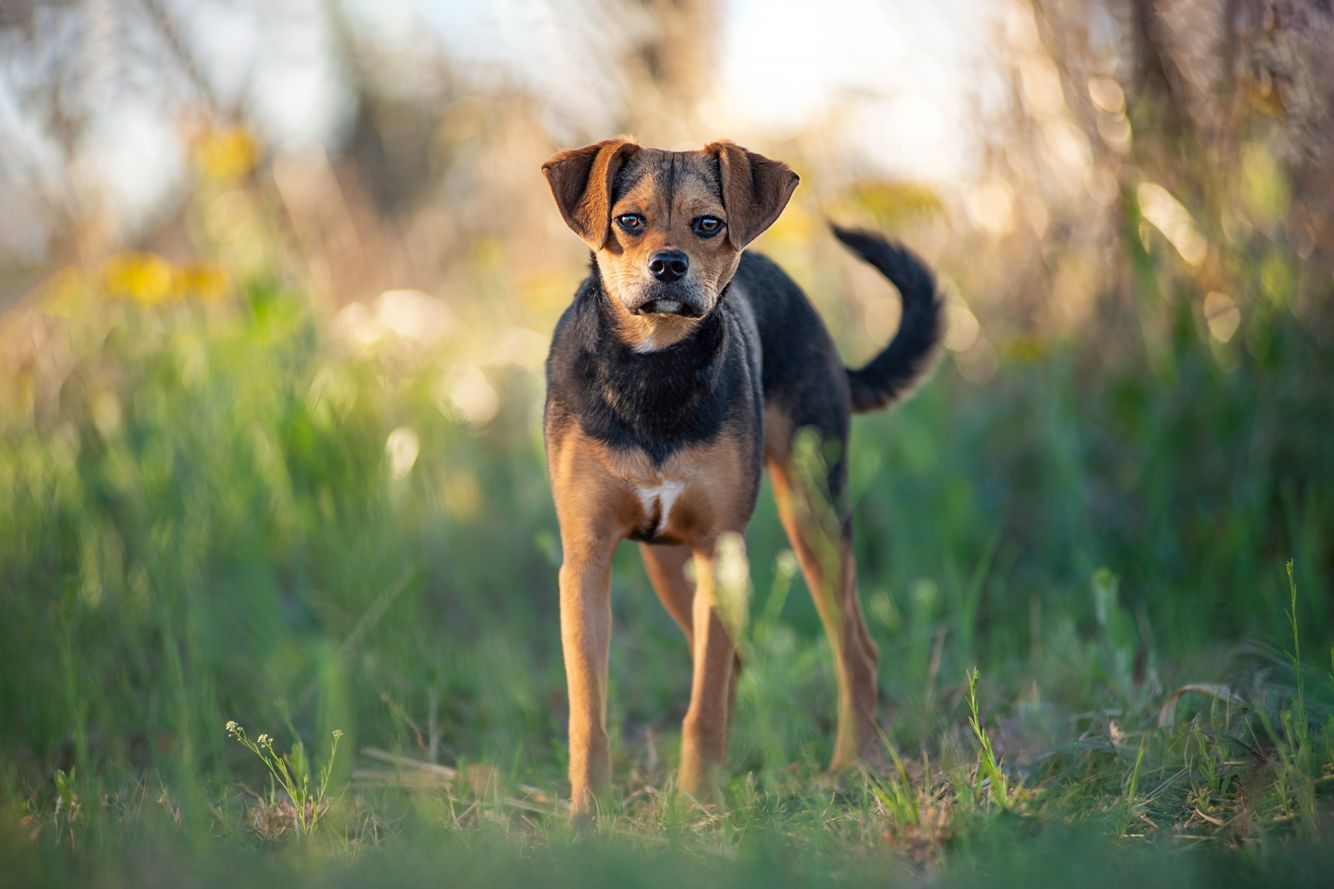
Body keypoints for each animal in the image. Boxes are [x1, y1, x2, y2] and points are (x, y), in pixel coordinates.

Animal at [538, 136, 939, 811]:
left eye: (708, 225)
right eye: (629, 221)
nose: (669, 266)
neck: (655, 370)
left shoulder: (720, 549)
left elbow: (703, 707)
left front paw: (696, 804)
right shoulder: (586, 560)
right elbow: (589, 711)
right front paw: (587, 814)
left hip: (813, 515)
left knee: (854, 652)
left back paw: (849, 769)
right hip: (668, 563)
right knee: (735, 663)